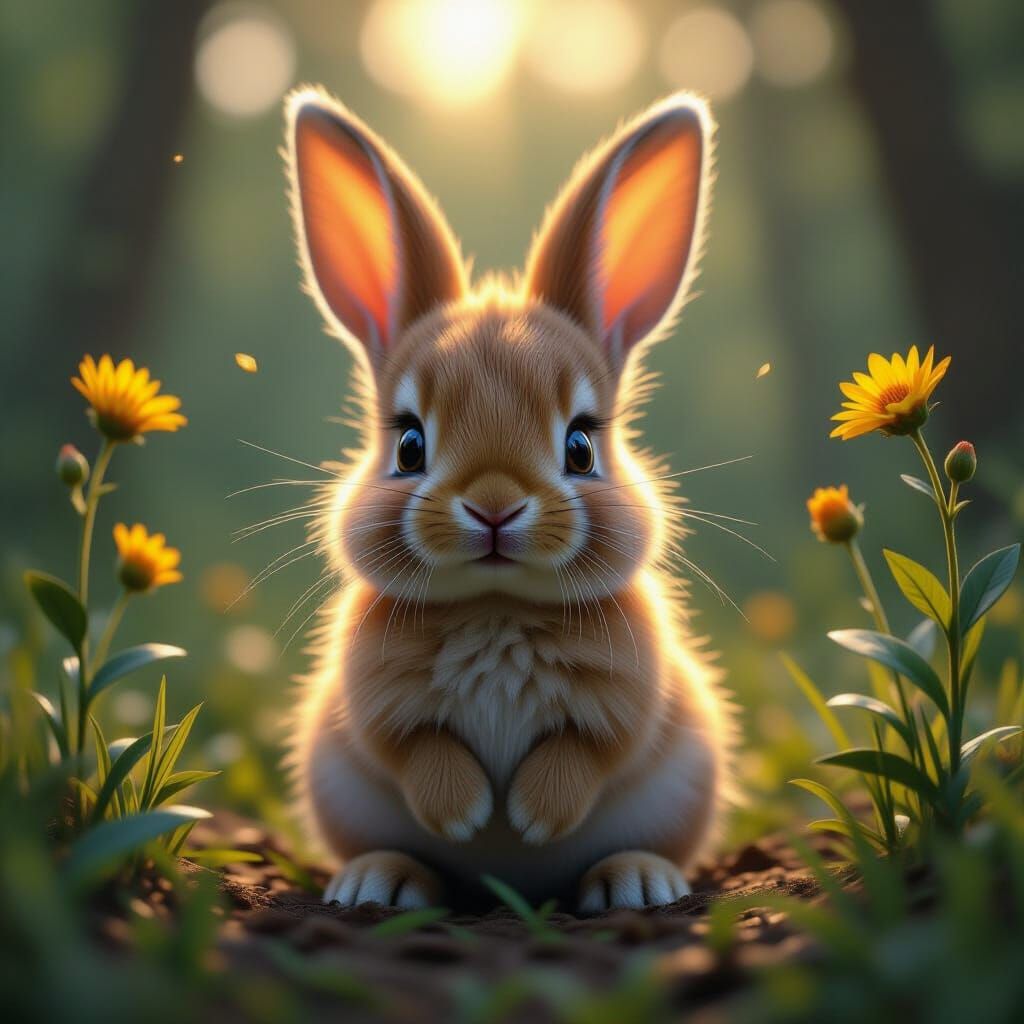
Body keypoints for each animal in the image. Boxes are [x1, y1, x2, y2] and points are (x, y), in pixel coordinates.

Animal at [283, 85, 735, 912]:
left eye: (581, 446)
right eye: (410, 445)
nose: (494, 506)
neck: (495, 606)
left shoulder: (627, 703)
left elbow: (589, 752)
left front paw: (529, 815)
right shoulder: (376, 707)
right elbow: (414, 748)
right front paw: (467, 812)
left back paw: (634, 883)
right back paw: (380, 884)